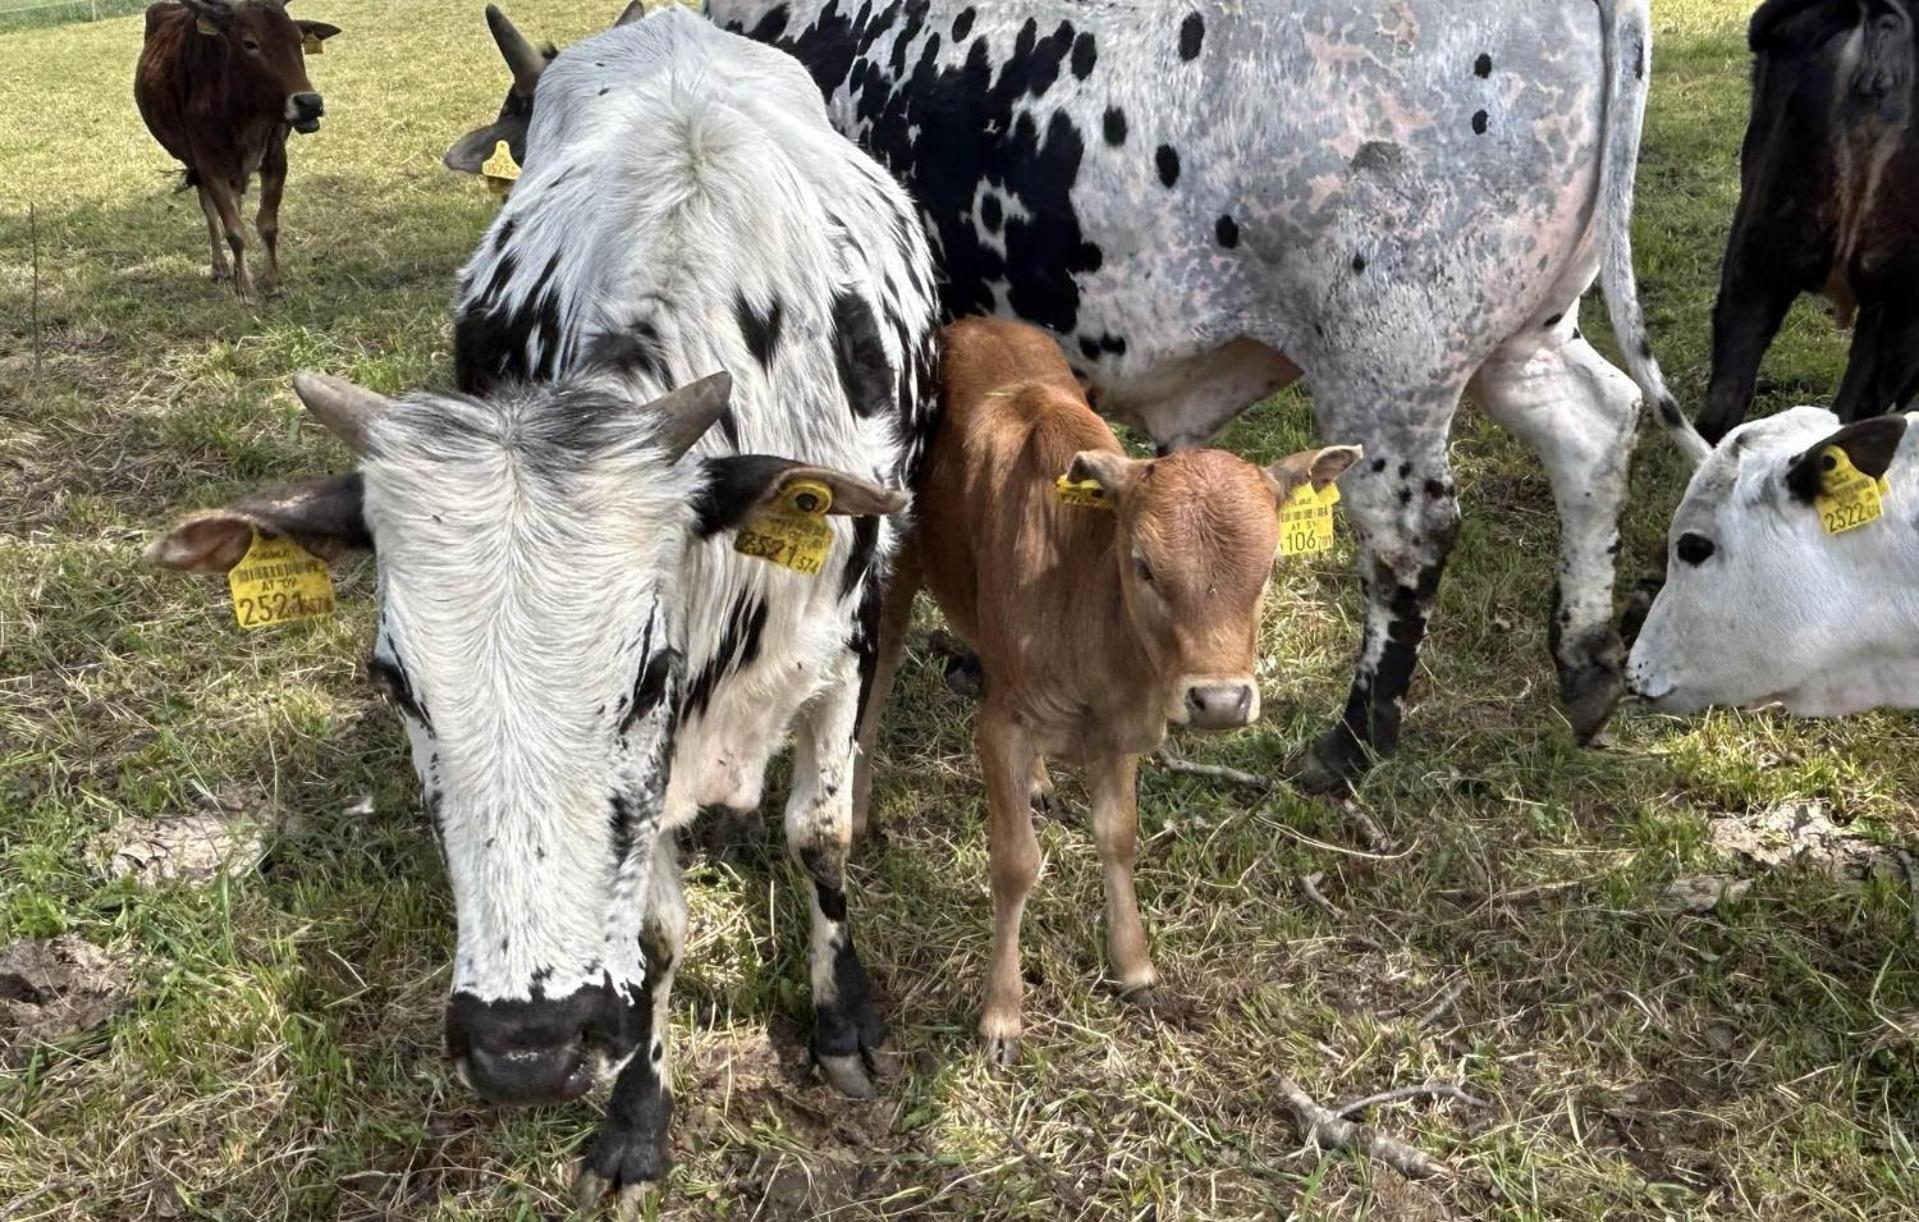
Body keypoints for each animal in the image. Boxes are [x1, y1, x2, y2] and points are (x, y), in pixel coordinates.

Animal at [135, 1, 341, 301]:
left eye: (298, 39)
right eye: (249, 43)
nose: (310, 103)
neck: (241, 115)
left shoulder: (276, 159)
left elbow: (267, 224)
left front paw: (274, 282)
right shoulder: (209, 166)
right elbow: (233, 229)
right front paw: (246, 289)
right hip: (195, 165)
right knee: (210, 212)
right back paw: (221, 267)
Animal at [702, 0, 1711, 782]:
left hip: (1387, 365)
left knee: (1408, 538)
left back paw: (1352, 745)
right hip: (1522, 334)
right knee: (1593, 428)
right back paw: (1585, 663)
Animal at [855, 318, 1366, 1066]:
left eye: (1270, 564)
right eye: (1143, 565)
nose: (1219, 701)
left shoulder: (1126, 721)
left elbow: (1118, 835)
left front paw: (1133, 966)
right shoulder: (1001, 725)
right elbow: (1015, 863)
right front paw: (1001, 1015)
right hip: (898, 572)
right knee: (877, 676)